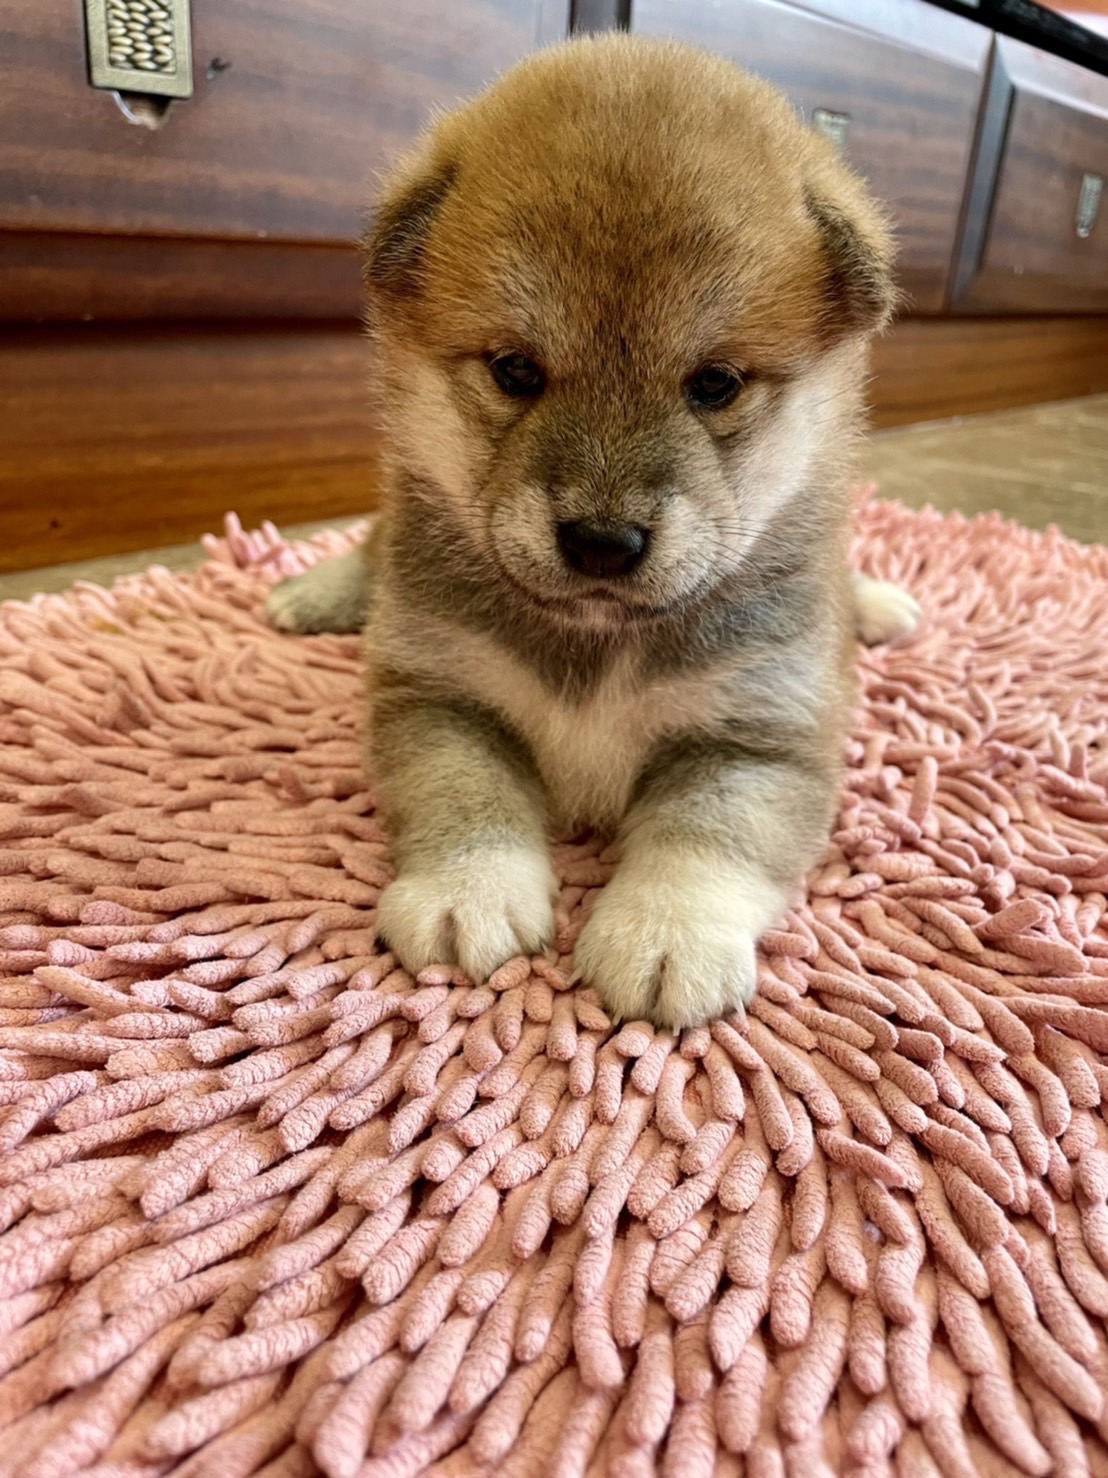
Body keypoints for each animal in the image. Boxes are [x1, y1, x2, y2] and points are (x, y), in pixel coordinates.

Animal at [267, 34, 921, 1029]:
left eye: (715, 384)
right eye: (515, 370)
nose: (602, 543)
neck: (599, 642)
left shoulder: (763, 734)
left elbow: (705, 835)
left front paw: (666, 933)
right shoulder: (436, 693)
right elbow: (463, 796)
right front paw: (468, 891)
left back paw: (877, 606)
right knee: (373, 538)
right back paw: (319, 591)